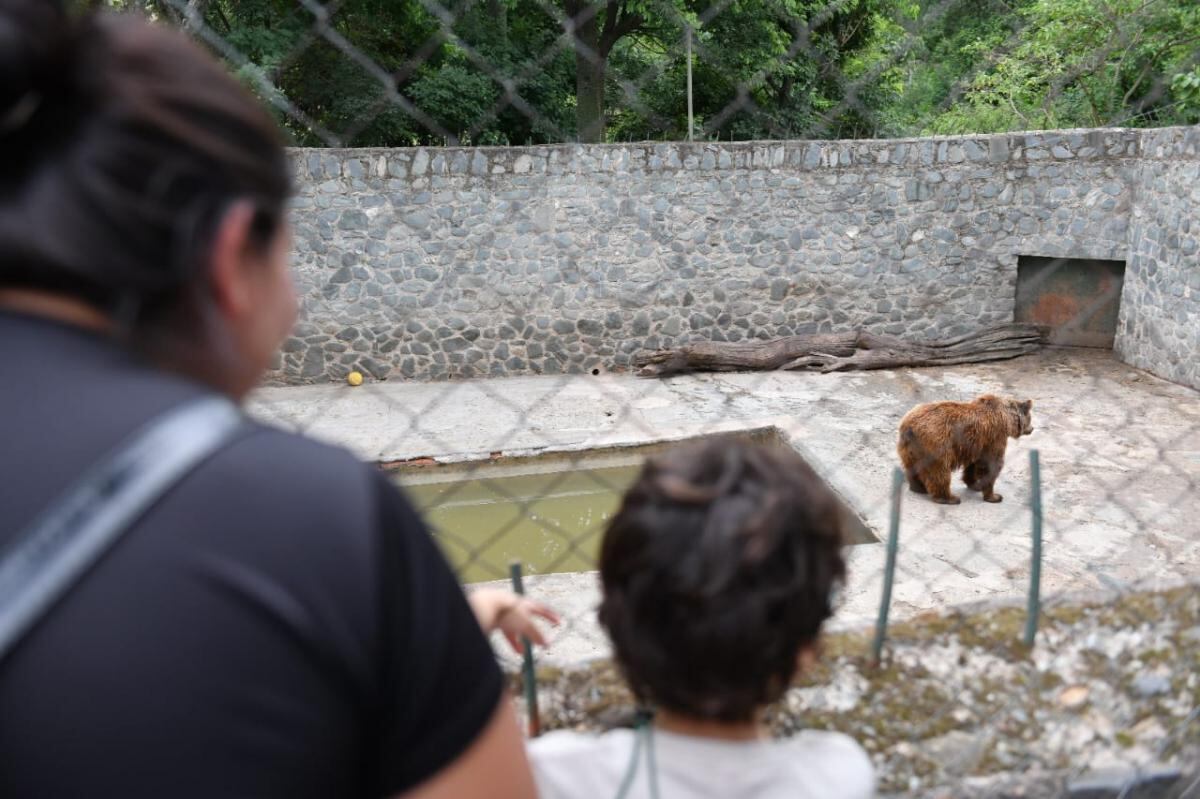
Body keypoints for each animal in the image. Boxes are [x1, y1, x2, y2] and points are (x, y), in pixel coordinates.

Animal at [902, 393, 1032, 501]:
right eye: (1030, 418)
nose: (1032, 429)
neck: (1007, 419)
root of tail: (909, 426)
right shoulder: (995, 436)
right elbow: (991, 464)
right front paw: (994, 496)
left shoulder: (977, 444)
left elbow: (974, 465)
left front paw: (974, 484)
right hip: (937, 442)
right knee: (940, 470)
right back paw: (949, 498)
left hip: (909, 447)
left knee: (912, 467)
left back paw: (918, 488)